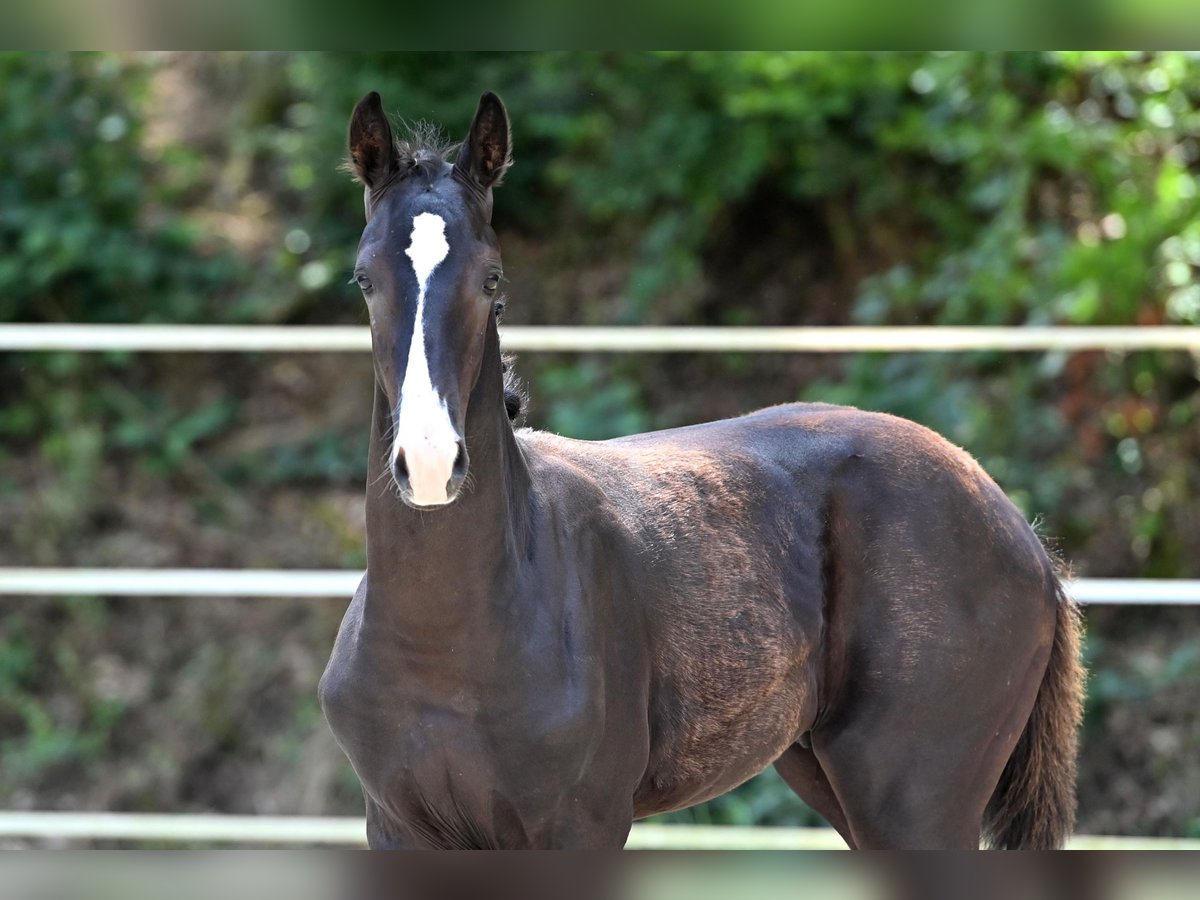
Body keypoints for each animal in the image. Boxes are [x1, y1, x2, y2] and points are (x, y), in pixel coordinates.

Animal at [321, 93, 1089, 854]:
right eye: (364, 279)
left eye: (492, 280)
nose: (429, 463)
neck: (448, 641)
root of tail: (1021, 534)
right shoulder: (397, 825)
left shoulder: (581, 824)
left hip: (915, 802)